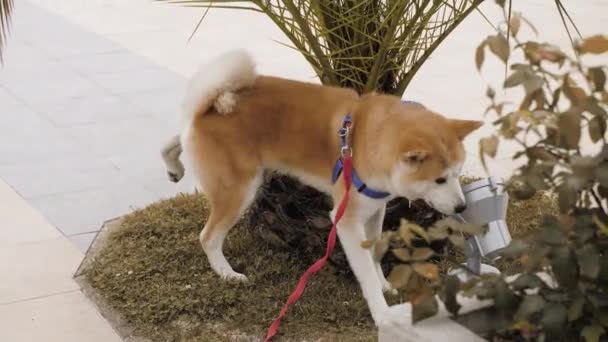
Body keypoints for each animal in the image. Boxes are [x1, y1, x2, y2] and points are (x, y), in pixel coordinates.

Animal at [159, 48, 482, 326]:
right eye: (439, 179)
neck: (367, 138)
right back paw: (227, 273)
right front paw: (382, 314)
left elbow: (376, 255)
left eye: (457, 173)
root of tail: (210, 105)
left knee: (176, 137)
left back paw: (173, 164)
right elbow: (365, 270)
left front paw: (385, 284)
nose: (462, 206)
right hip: (241, 190)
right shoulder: (347, 220)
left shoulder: (375, 210)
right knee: (208, 237)